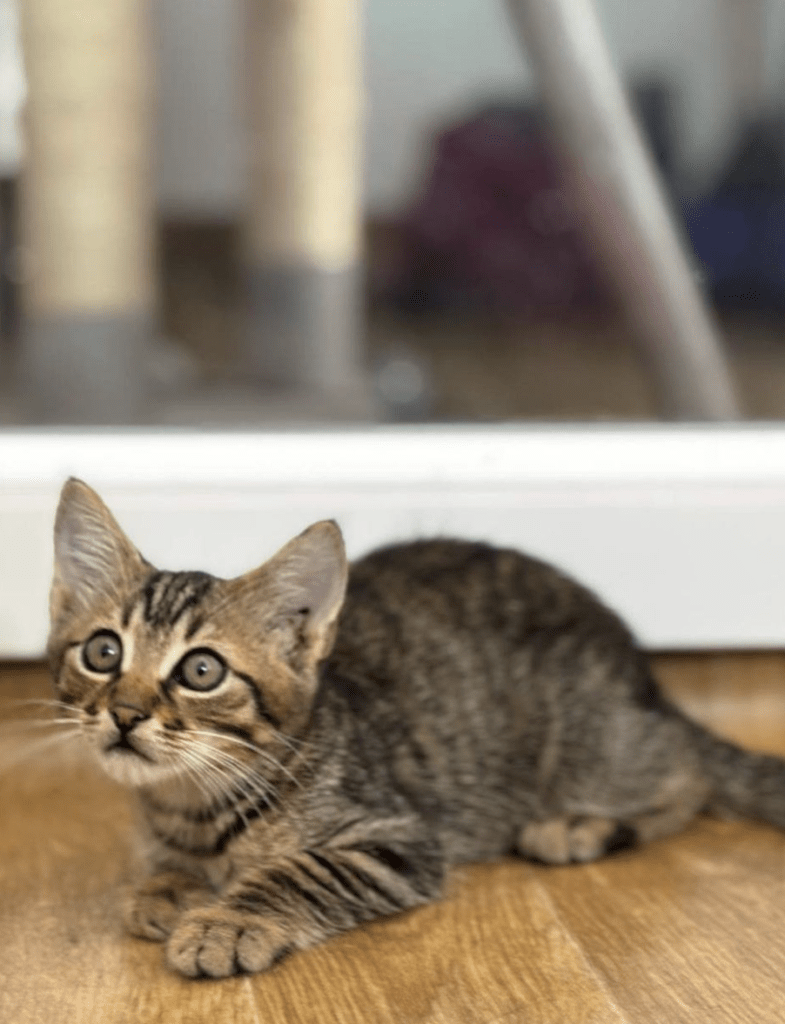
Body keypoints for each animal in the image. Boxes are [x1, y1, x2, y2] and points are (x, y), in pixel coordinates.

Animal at [50, 479, 785, 974]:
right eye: (104, 653)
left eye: (201, 671)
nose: (125, 713)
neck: (197, 802)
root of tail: (643, 674)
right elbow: (167, 863)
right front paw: (168, 884)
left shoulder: (400, 838)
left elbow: (300, 871)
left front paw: (228, 920)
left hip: (595, 746)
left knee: (687, 776)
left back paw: (581, 825)